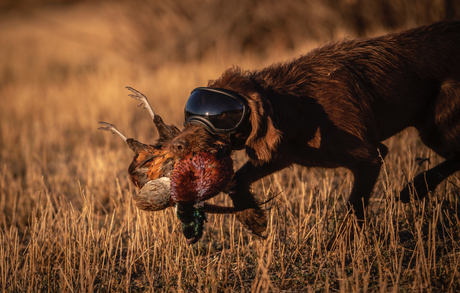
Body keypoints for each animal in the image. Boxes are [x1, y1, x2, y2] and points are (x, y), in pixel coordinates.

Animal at [168, 21, 460, 237]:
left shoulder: (370, 157)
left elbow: (354, 208)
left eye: (220, 116)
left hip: (438, 124)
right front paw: (253, 219)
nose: (175, 145)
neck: (294, 108)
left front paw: (339, 247)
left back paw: (416, 188)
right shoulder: (281, 155)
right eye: (191, 113)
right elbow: (237, 181)